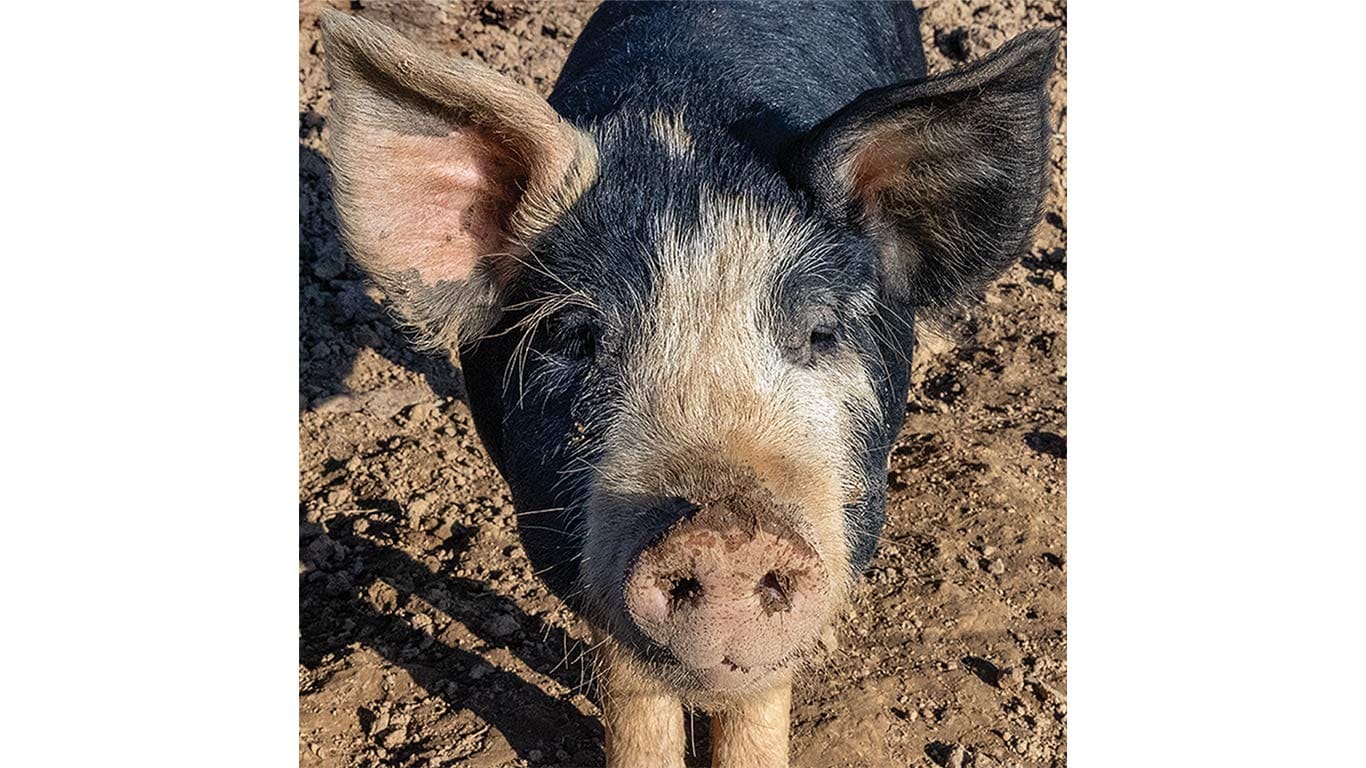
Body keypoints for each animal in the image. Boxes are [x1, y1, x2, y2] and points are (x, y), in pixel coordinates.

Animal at [318, 2, 1055, 766]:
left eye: (822, 331)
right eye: (576, 337)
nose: (726, 530)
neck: (689, 117)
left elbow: (760, 695)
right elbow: (631, 686)